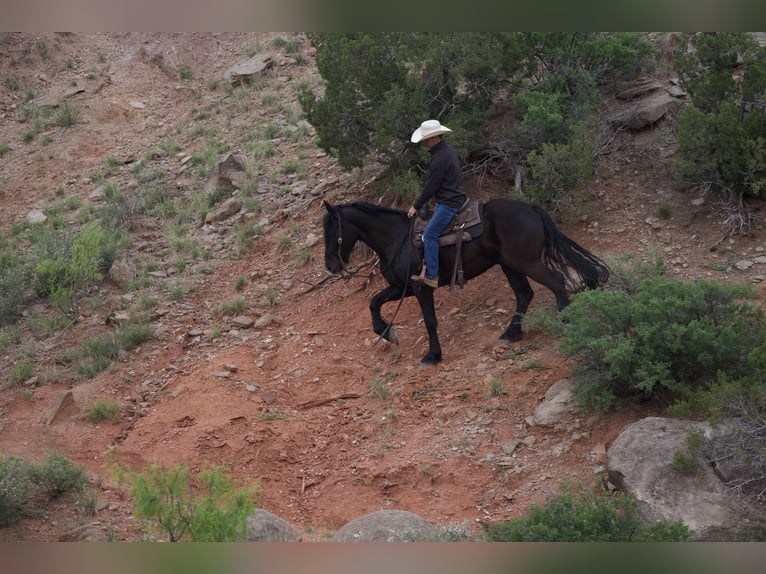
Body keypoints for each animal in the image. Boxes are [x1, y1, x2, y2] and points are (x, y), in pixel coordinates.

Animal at [324, 200, 612, 366]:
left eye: (331, 229)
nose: (331, 265)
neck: (396, 238)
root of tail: (531, 208)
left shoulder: (420, 287)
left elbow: (430, 321)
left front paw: (433, 356)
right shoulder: (399, 287)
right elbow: (374, 303)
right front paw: (388, 332)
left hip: (525, 262)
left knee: (556, 282)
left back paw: (565, 322)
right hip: (509, 264)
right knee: (524, 294)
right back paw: (511, 334)